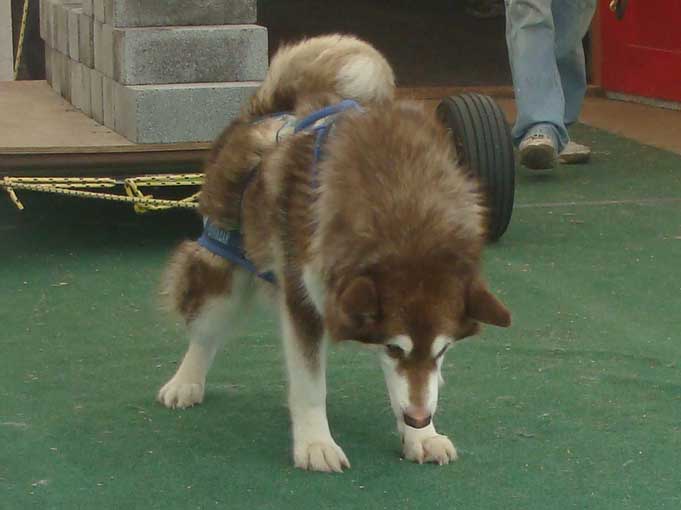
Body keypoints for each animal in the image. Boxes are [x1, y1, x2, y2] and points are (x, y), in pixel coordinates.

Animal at [158, 36, 510, 474]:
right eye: (394, 348)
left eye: (444, 351)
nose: (418, 419)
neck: (406, 212)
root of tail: (270, 109)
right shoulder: (303, 299)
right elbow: (311, 384)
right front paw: (315, 443)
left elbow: (411, 385)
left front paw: (420, 436)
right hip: (225, 275)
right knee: (206, 331)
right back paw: (185, 381)